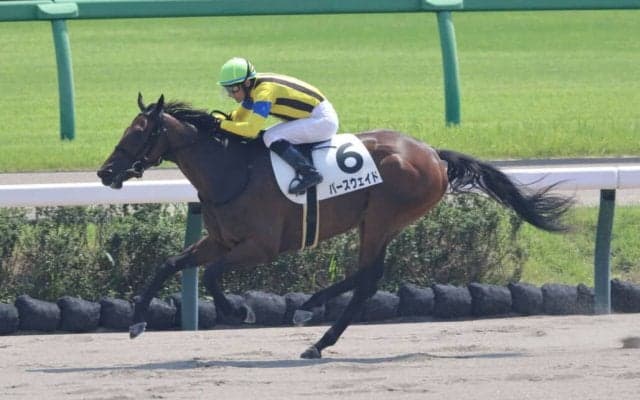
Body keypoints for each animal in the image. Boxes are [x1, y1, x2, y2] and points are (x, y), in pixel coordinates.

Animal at [97, 94, 573, 359]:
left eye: (137, 133)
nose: (105, 172)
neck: (230, 171)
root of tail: (433, 155)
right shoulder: (218, 240)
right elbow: (170, 264)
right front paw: (136, 322)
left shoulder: (260, 246)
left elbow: (212, 276)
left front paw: (239, 311)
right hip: (377, 221)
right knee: (367, 276)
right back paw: (311, 316)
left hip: (382, 216)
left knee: (367, 278)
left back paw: (315, 331)